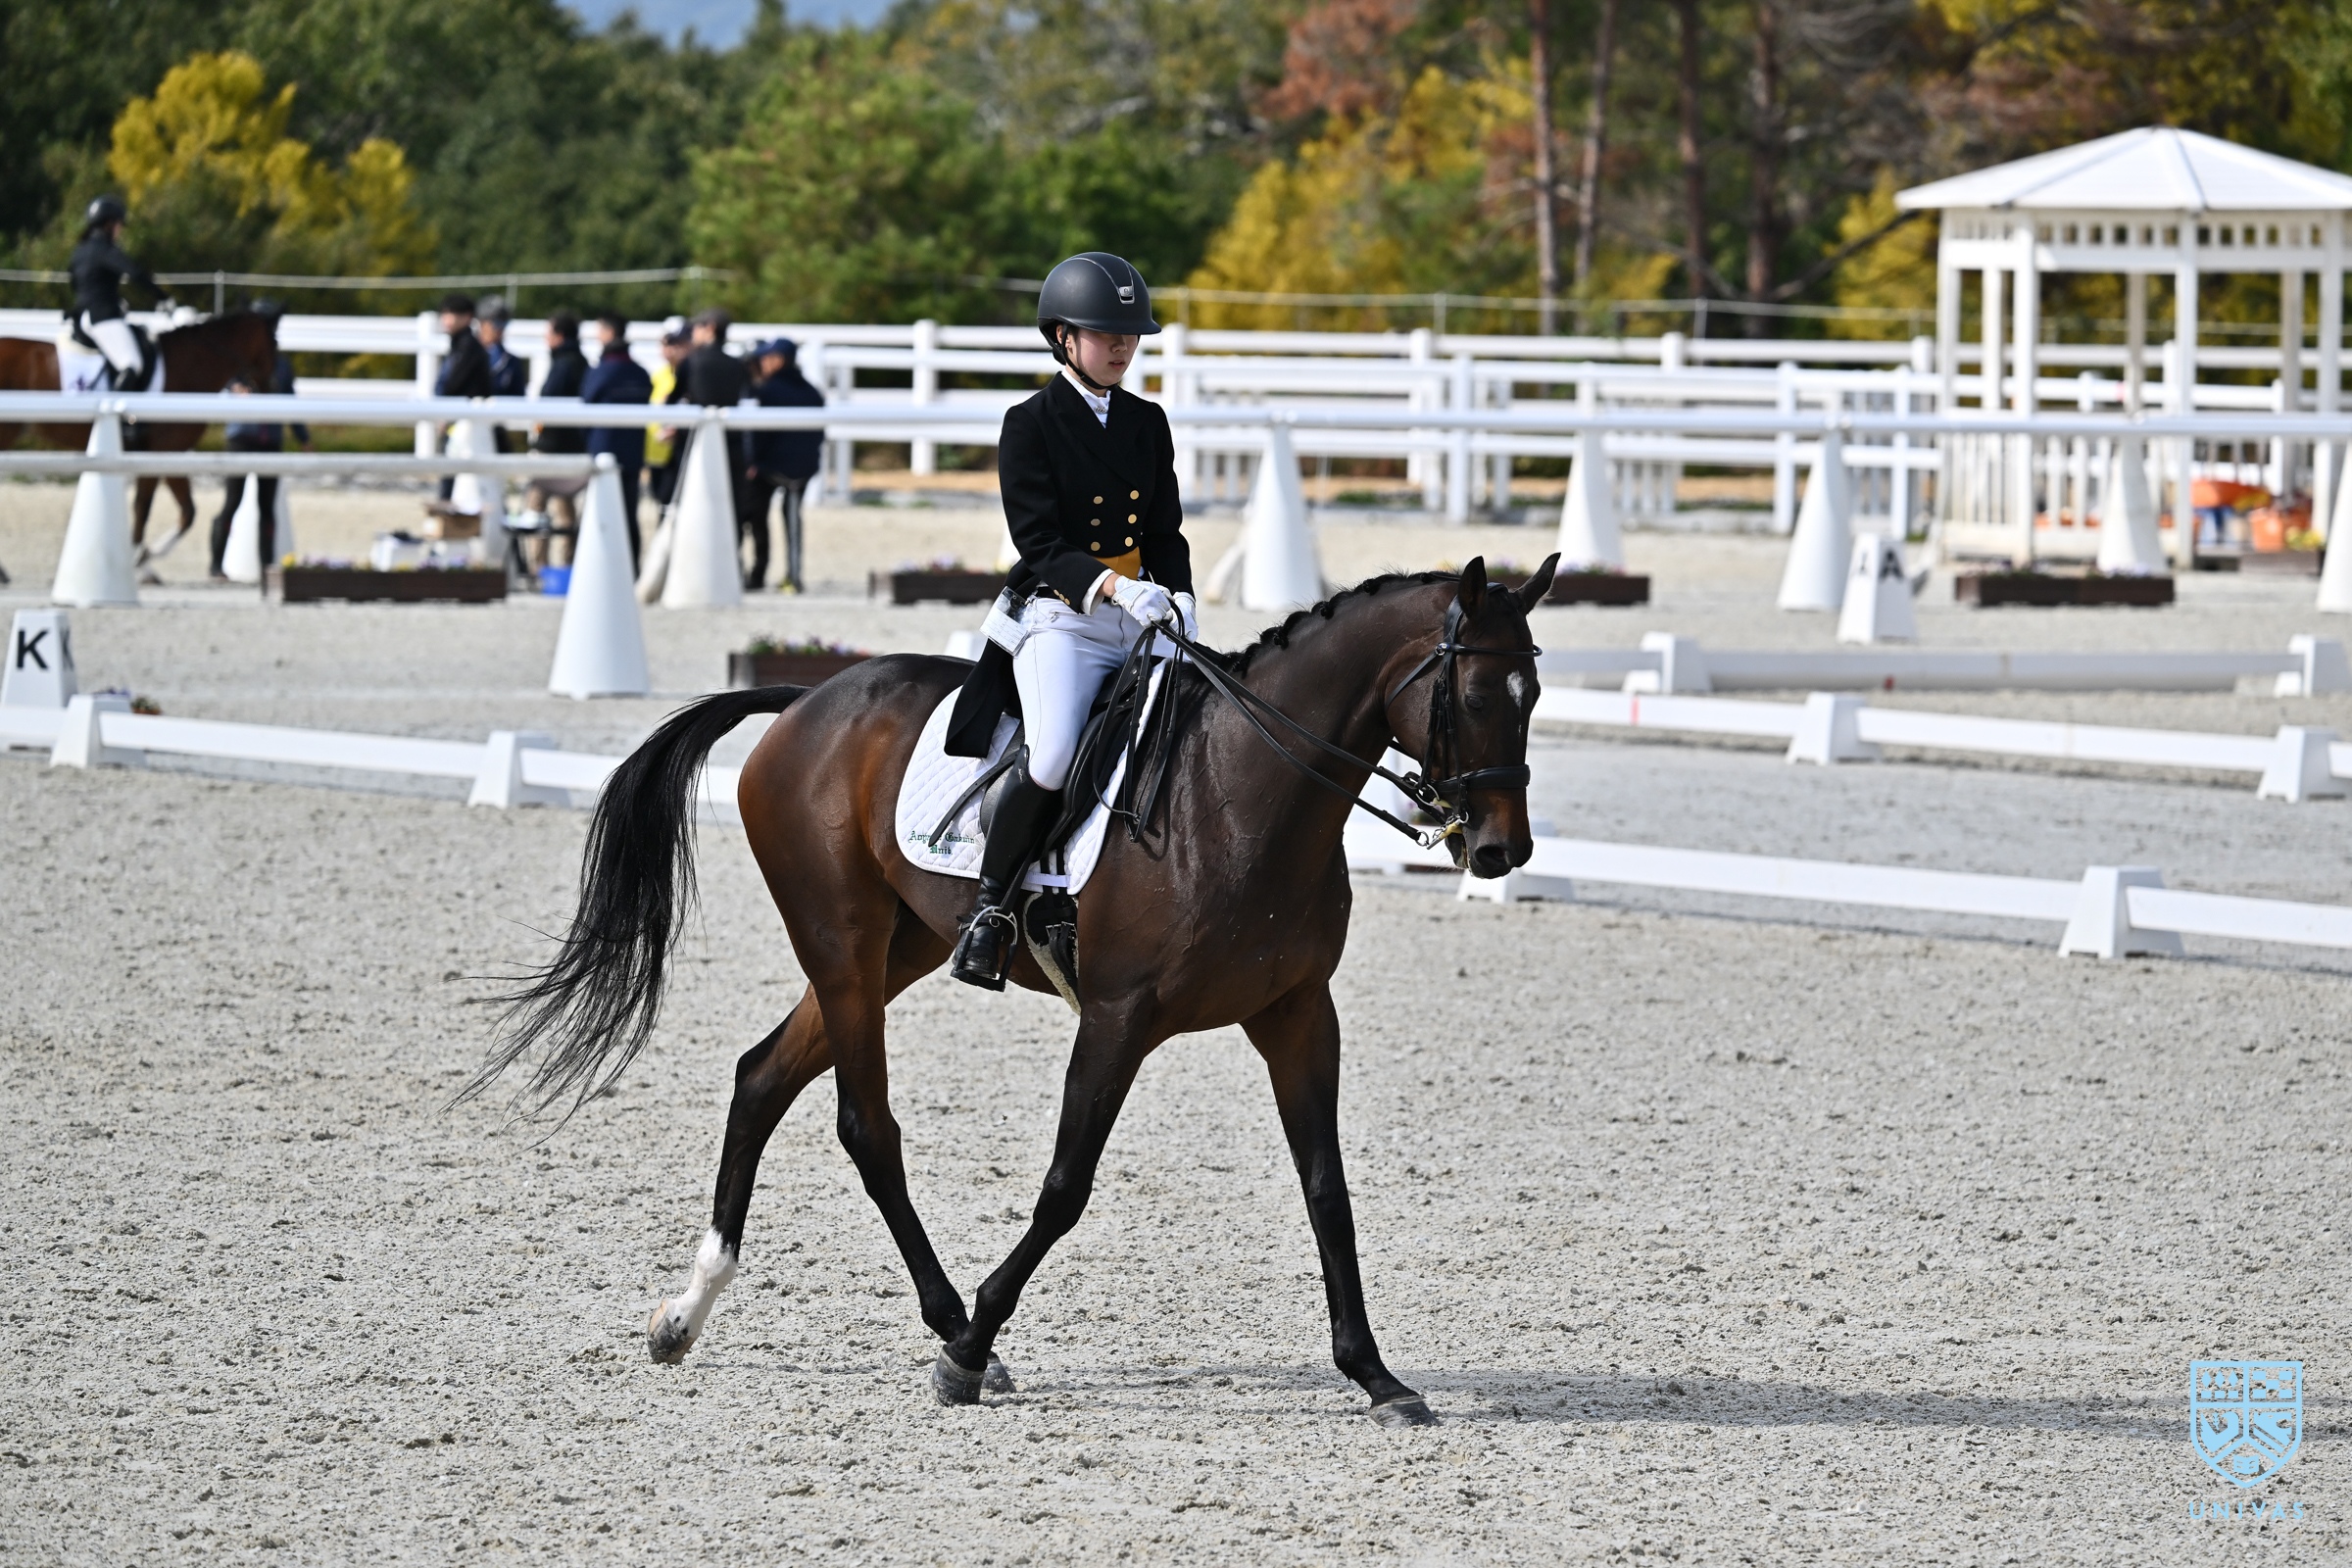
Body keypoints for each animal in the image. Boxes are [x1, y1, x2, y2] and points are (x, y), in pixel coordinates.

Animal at [0, 310, 283, 568]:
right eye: (275, 344)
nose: (271, 388)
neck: (188, 366)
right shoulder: (162, 452)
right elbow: (145, 507)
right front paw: (140, 557)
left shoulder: (170, 455)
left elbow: (186, 512)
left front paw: (145, 558)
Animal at [470, 555, 1559, 1428]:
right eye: (1475, 694)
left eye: (1536, 691)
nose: (1500, 851)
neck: (1243, 791)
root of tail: (809, 703)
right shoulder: (1120, 1018)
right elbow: (1065, 1187)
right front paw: (968, 1351)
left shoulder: (1297, 1013)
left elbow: (1327, 1190)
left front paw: (1376, 1376)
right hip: (844, 946)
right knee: (865, 1126)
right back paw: (953, 1327)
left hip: (896, 950)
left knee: (760, 1078)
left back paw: (684, 1316)